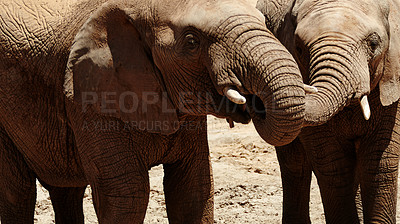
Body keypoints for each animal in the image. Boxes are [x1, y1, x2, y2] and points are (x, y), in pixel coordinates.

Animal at [0, 0, 306, 222]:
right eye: (192, 41)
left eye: (264, 22)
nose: (252, 101)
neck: (135, 7)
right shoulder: (89, 100)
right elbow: (127, 194)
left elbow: (192, 189)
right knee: (18, 192)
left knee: (65, 191)